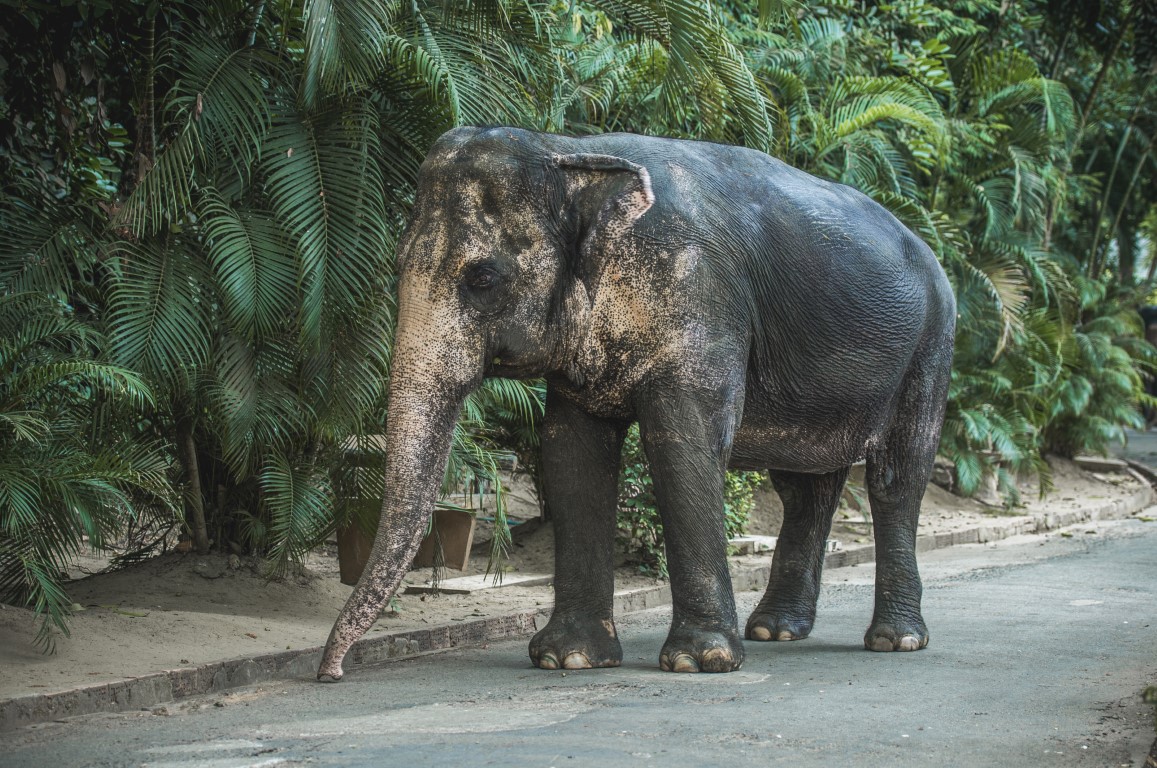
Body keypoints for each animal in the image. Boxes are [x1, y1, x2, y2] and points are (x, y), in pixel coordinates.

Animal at [317, 126, 956, 680]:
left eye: (482, 277)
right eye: (398, 264)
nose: (331, 673)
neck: (571, 152)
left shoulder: (699, 301)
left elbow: (682, 446)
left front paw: (700, 662)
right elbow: (572, 454)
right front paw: (568, 659)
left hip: (931, 349)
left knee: (896, 477)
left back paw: (895, 640)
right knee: (805, 486)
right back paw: (774, 631)